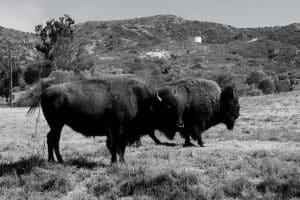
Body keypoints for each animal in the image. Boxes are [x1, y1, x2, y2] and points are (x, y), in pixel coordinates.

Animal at [28, 75, 183, 164]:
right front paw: (119, 163)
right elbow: (116, 146)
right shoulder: (118, 130)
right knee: (53, 138)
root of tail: (45, 91)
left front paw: (118, 162)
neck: (142, 100)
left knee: (52, 138)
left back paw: (55, 160)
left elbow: (118, 147)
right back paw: (56, 161)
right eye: (168, 108)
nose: (180, 125)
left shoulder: (120, 132)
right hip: (57, 124)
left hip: (57, 125)